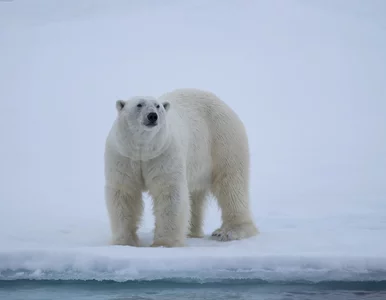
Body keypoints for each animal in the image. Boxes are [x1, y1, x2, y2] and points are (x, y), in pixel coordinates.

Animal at [104, 88, 258, 247]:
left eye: (158, 106)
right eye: (139, 104)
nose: (152, 116)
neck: (144, 150)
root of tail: (224, 105)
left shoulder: (164, 154)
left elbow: (169, 192)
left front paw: (164, 243)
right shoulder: (124, 156)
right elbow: (124, 193)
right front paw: (124, 242)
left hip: (222, 139)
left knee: (230, 185)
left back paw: (230, 231)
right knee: (195, 196)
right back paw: (191, 232)